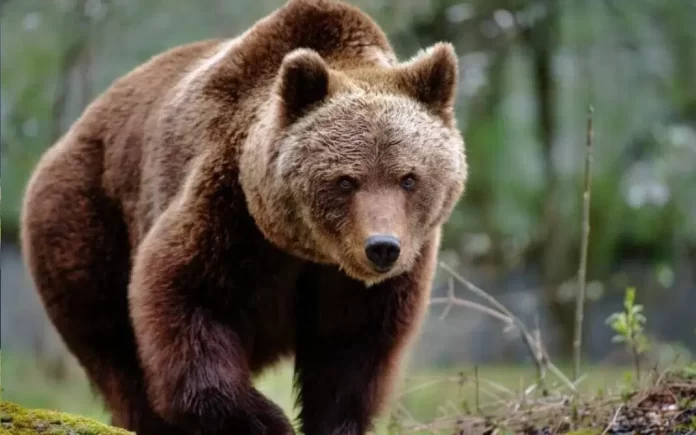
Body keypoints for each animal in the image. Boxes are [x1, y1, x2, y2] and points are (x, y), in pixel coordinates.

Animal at [19, 0, 467, 434]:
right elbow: (188, 300)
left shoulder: (374, 277)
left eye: (409, 178)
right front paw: (268, 420)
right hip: (86, 217)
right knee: (112, 343)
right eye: (345, 180)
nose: (382, 248)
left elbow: (351, 350)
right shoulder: (229, 209)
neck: (307, 249)